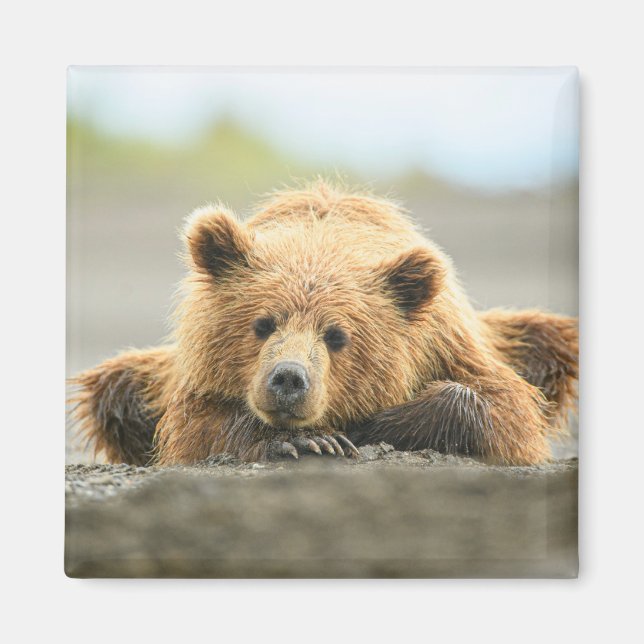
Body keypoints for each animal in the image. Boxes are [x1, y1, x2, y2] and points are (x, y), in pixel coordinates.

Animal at [69, 181, 578, 466]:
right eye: (262, 323)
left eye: (337, 336)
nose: (288, 379)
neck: (324, 239)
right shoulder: (194, 376)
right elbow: (194, 429)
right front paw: (309, 442)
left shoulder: (448, 342)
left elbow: (506, 411)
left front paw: (374, 426)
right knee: (116, 389)